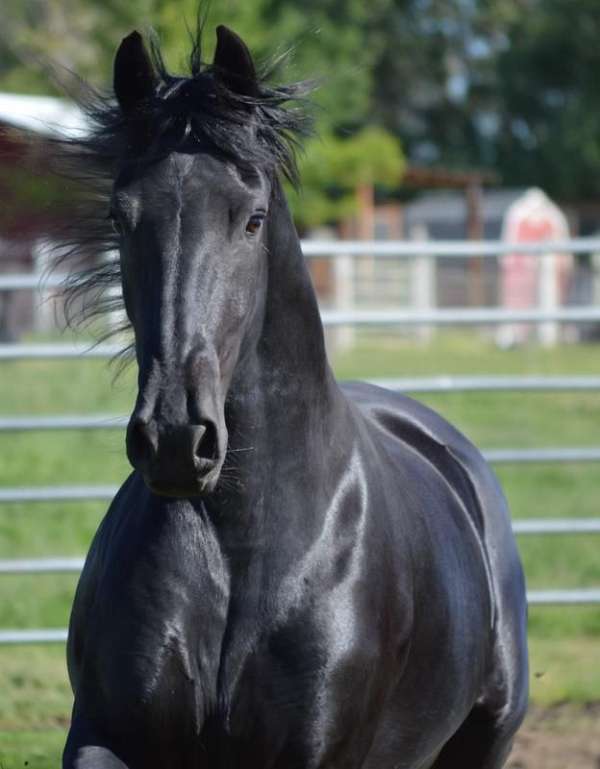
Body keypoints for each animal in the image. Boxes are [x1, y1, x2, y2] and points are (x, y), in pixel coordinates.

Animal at [61, 22, 528, 768]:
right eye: (120, 215)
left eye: (251, 219)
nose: (175, 438)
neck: (240, 544)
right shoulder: (103, 733)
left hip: (485, 739)